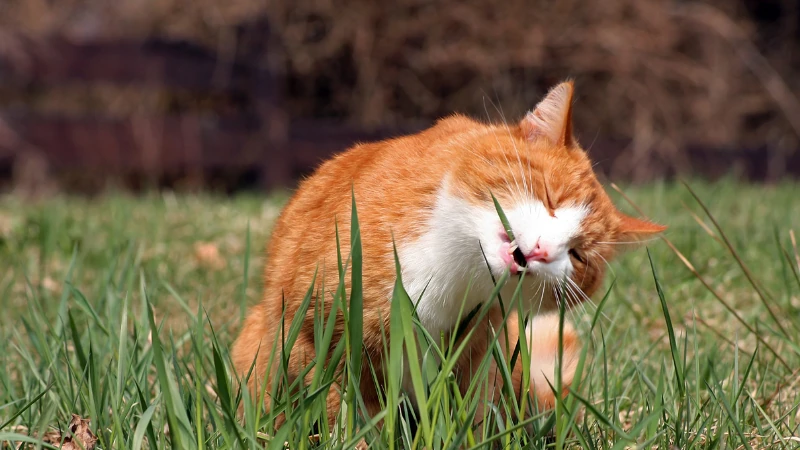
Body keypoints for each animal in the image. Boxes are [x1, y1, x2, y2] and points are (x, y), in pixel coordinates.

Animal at [230, 80, 664, 428]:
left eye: (578, 255)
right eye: (550, 198)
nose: (543, 250)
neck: (452, 270)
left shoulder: (477, 355)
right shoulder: (318, 339)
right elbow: (344, 415)